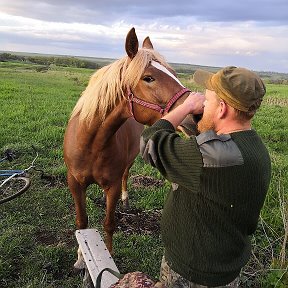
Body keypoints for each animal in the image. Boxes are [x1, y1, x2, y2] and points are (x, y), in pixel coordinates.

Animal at [64, 27, 192, 258]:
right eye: (148, 78)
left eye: (175, 74)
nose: (198, 112)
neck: (91, 144)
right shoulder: (75, 183)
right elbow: (81, 223)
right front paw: (80, 256)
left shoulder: (112, 186)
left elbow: (109, 223)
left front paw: (109, 254)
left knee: (126, 174)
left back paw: (125, 199)